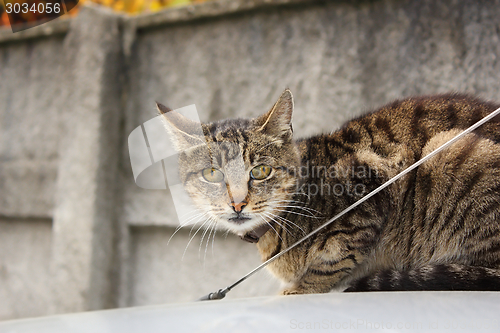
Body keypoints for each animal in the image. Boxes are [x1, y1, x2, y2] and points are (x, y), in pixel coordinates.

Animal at [158, 89, 500, 294]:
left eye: (260, 171)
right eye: (212, 174)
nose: (238, 204)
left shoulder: (370, 184)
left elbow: (336, 257)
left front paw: (300, 288)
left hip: (454, 152)